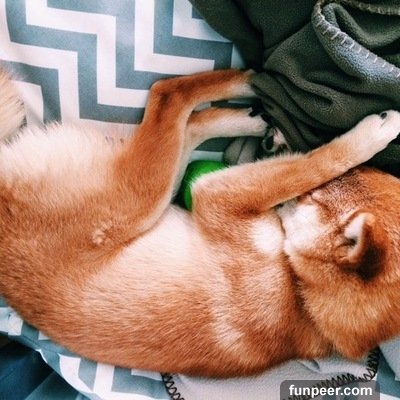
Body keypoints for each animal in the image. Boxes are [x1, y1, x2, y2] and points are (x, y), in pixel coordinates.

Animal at [0, 68, 399, 377]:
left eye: (316, 198)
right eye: (365, 174)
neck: (301, 298)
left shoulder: (214, 192)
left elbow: (313, 164)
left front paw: (367, 137)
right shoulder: (223, 193)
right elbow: (309, 166)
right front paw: (371, 137)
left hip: (143, 194)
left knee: (170, 99)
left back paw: (245, 93)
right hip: (152, 197)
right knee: (175, 106)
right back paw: (249, 96)